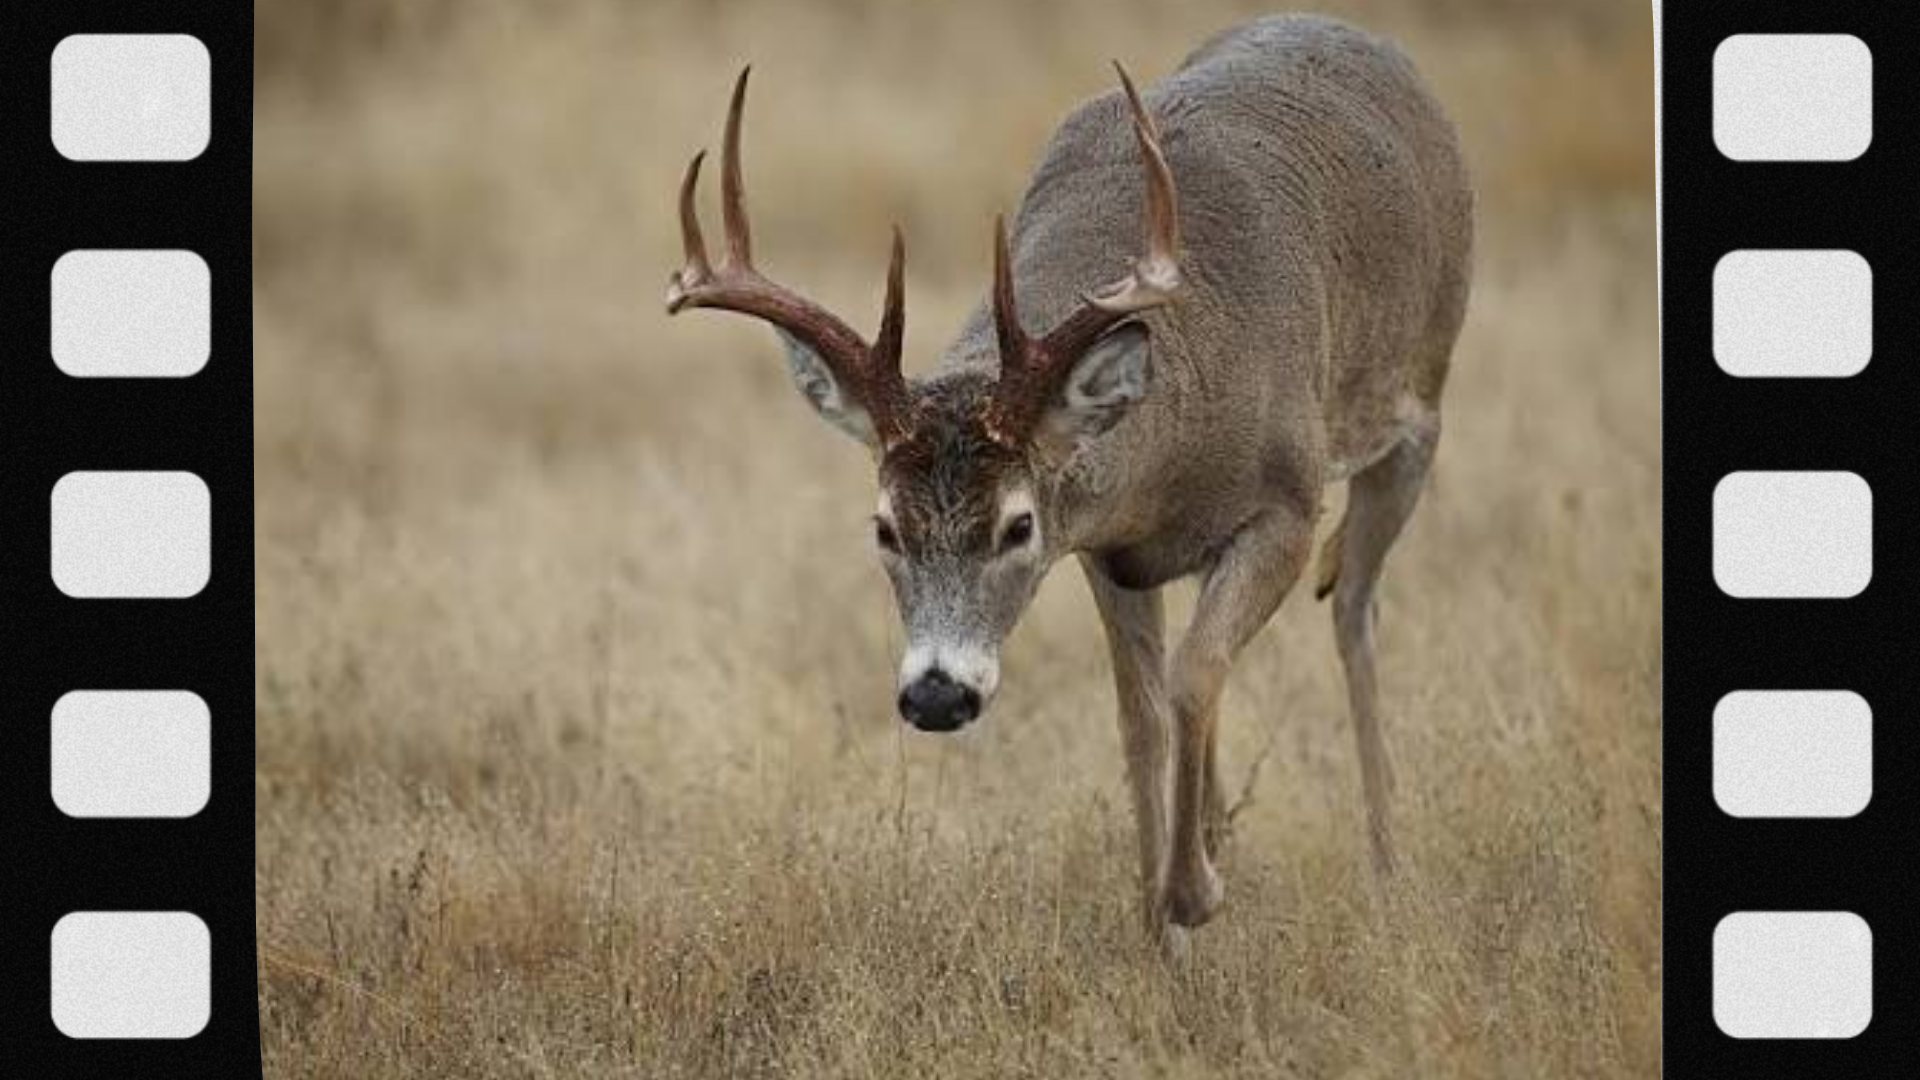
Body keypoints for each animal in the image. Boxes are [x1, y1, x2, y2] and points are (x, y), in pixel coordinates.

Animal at [665, 14, 1472, 950]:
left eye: (1017, 526)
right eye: (884, 528)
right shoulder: (1108, 549)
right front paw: (1161, 918)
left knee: (1354, 608)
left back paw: (1385, 859)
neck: (1174, 453)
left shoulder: (1289, 504)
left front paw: (1192, 892)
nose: (936, 695)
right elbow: (1142, 714)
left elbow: (1194, 673)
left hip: (1419, 406)